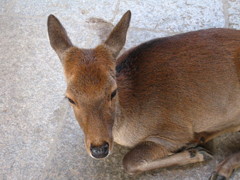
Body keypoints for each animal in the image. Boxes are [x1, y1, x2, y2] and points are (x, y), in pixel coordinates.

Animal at [47, 10, 240, 179]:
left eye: (113, 92)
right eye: (70, 98)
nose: (99, 149)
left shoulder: (174, 131)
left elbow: (129, 161)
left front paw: (196, 154)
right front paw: (196, 149)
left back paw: (220, 168)